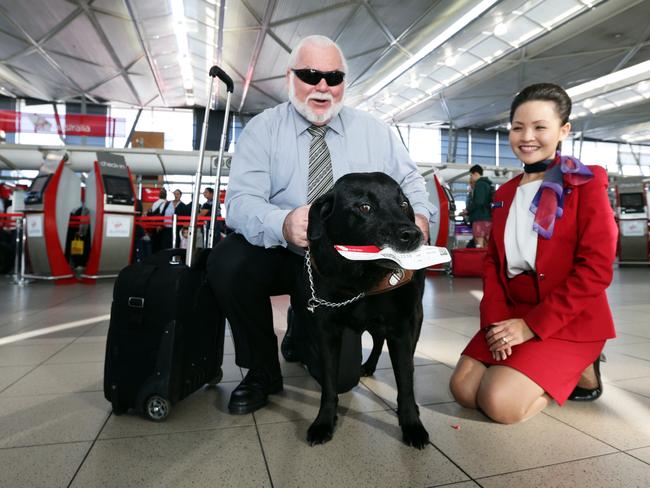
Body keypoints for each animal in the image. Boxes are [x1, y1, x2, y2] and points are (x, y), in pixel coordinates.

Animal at [302, 172, 428, 450]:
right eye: (365, 207)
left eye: (403, 203)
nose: (414, 234)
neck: (359, 279)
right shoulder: (327, 332)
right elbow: (329, 385)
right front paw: (324, 422)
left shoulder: (400, 329)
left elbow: (405, 381)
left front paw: (412, 423)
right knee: (378, 339)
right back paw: (368, 365)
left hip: (415, 317)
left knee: (407, 358)